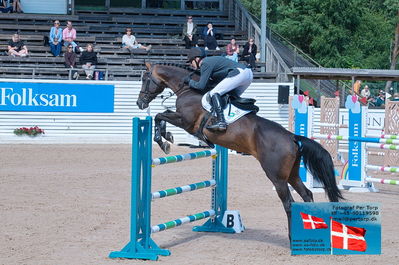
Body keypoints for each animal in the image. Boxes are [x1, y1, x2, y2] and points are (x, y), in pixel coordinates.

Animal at [137, 62, 344, 237]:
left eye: (145, 79)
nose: (140, 103)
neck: (188, 89)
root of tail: (292, 137)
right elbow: (162, 115)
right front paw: (166, 137)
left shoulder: (186, 121)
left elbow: (160, 115)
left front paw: (163, 140)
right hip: (292, 174)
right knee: (307, 195)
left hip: (277, 177)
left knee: (289, 203)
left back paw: (293, 237)